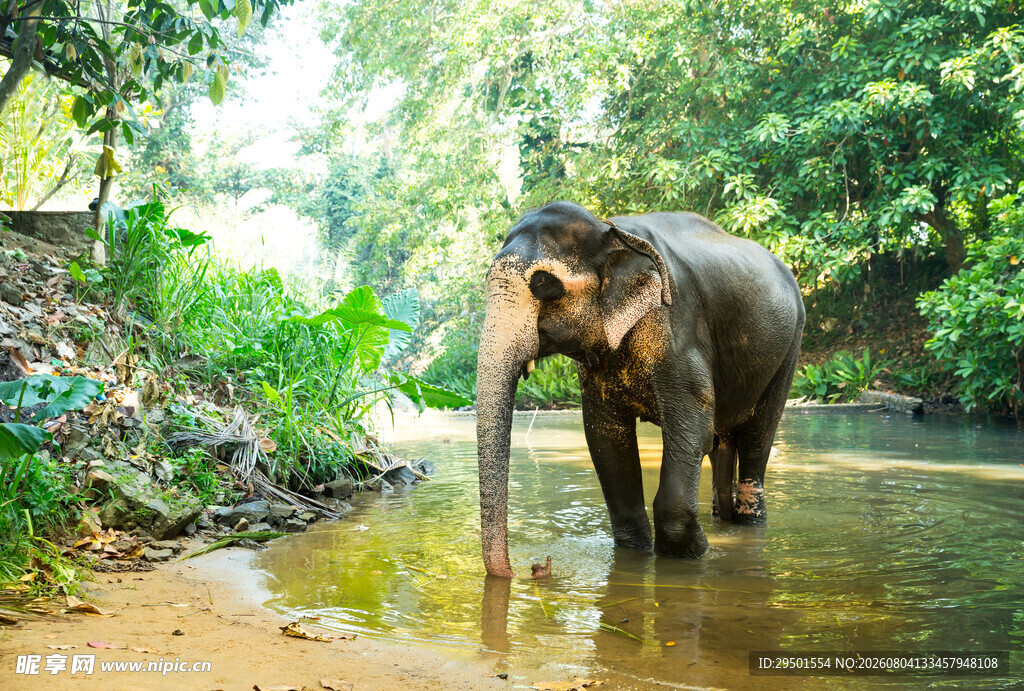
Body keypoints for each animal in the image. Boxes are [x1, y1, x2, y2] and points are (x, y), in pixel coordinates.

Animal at [476, 201, 805, 578]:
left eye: (544, 282)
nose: (533, 568)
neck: (607, 228)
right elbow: (605, 436)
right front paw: (637, 552)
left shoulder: (675, 324)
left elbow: (693, 423)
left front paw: (694, 556)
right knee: (721, 442)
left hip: (790, 347)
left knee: (756, 439)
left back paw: (749, 523)